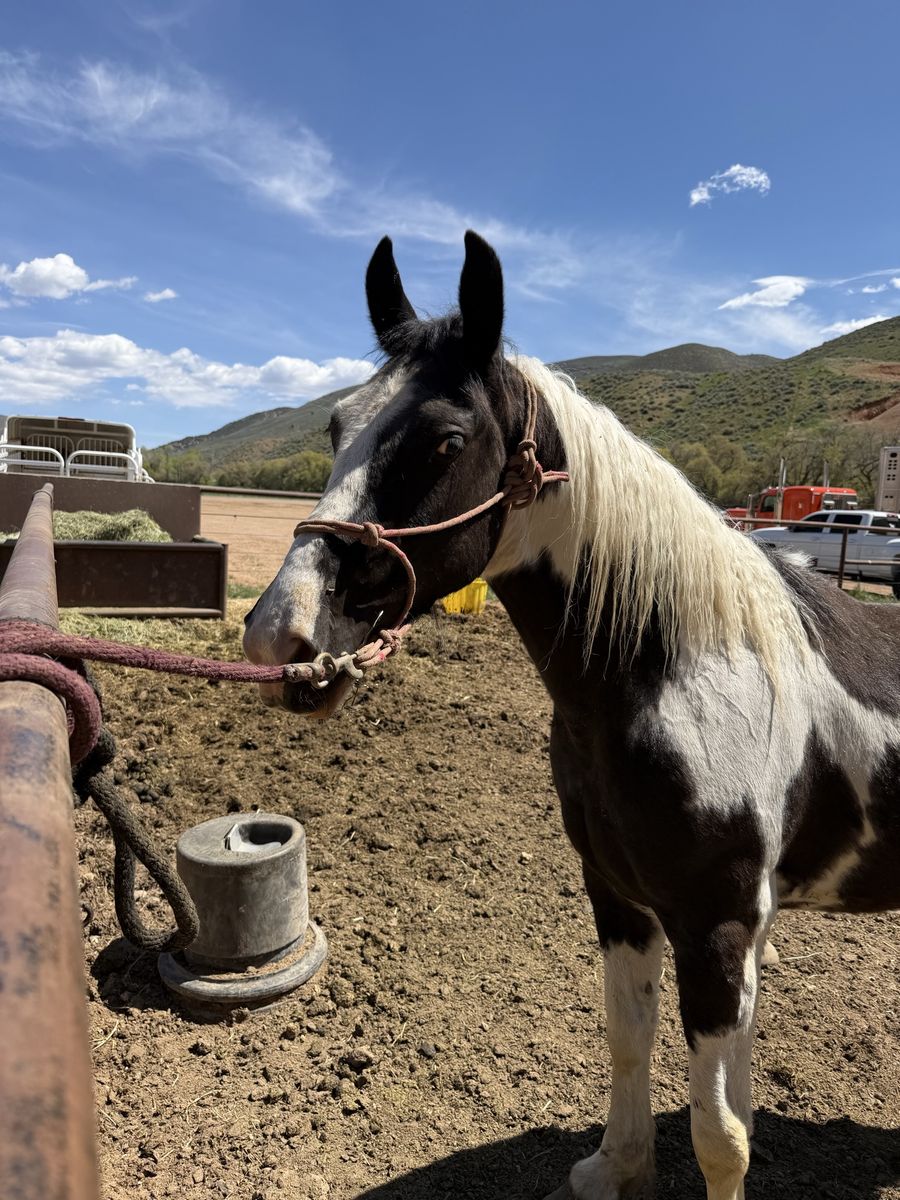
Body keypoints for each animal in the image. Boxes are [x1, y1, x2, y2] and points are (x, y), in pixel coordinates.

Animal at [243, 231, 900, 1200]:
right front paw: (616, 1167)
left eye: (444, 440)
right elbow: (630, 1044)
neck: (680, 674)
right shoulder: (621, 899)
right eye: (334, 428)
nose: (277, 636)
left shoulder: (719, 926)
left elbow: (721, 1134)